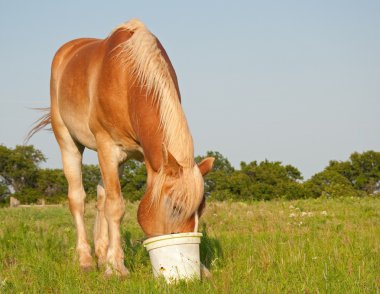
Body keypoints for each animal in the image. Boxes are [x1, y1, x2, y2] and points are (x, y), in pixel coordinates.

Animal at [27, 19, 214, 276]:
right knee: (77, 199)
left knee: (101, 198)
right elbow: (115, 207)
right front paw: (116, 267)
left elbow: (108, 203)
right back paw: (85, 260)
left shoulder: (138, 157)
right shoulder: (108, 147)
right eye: (175, 207)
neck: (128, 77)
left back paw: (100, 254)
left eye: (201, 209)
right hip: (68, 141)